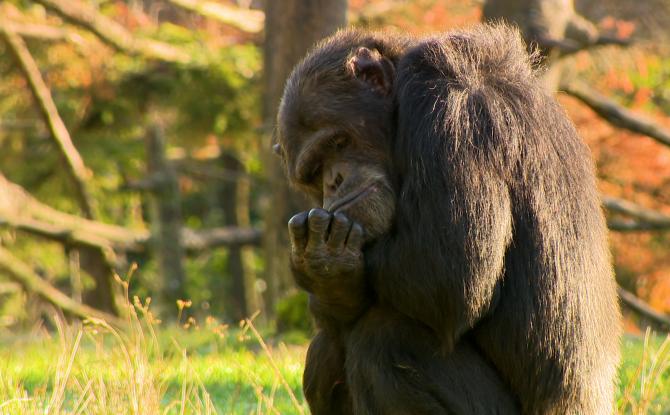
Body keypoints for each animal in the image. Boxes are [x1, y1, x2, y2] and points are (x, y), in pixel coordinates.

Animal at [272, 23, 624, 415]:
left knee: (385, 339)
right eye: (314, 171)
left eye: (337, 142)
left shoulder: (446, 104)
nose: (333, 181)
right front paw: (328, 279)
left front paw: (329, 272)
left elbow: (449, 271)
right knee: (326, 350)